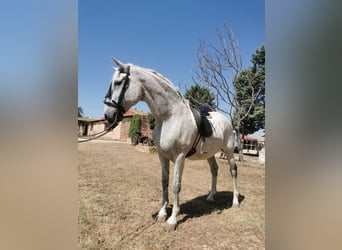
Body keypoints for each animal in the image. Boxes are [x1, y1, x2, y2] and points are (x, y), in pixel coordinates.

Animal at [103, 57, 239, 229]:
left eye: (119, 82)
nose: (108, 115)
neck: (169, 116)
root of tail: (226, 120)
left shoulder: (179, 157)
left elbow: (176, 185)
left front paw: (172, 219)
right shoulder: (162, 156)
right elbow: (164, 182)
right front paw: (162, 214)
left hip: (228, 150)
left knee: (233, 171)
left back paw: (235, 202)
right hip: (210, 154)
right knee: (214, 170)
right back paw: (211, 196)